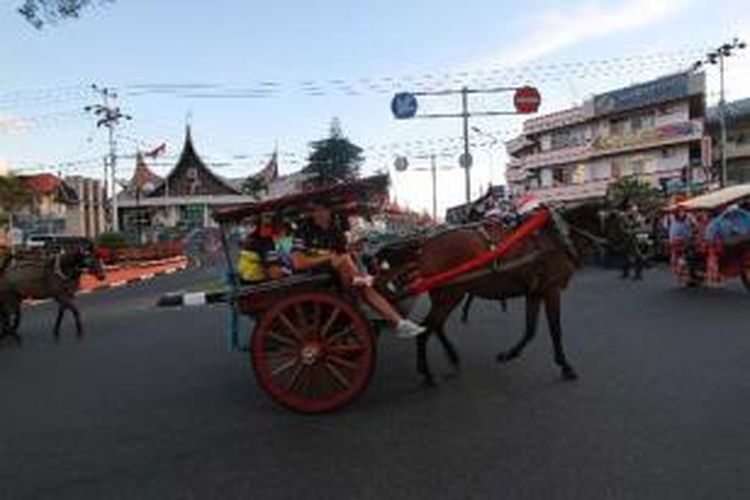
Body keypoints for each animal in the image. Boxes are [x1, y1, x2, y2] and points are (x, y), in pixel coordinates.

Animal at [374, 203, 608, 386]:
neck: (558, 237)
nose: (608, 250)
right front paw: (565, 366)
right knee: (426, 329)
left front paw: (509, 354)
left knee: (435, 326)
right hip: (450, 294)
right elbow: (555, 330)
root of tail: (425, 246)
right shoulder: (552, 290)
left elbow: (530, 330)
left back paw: (452, 358)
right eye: (617, 218)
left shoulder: (535, 292)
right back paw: (427, 373)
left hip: (447, 295)